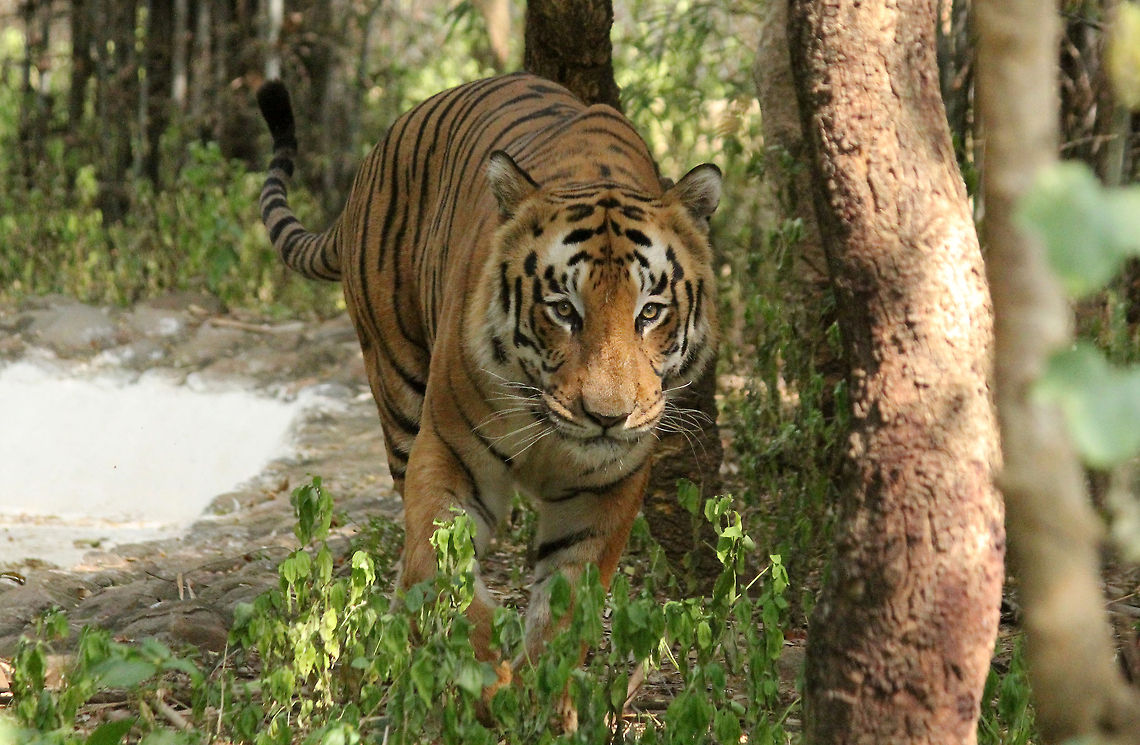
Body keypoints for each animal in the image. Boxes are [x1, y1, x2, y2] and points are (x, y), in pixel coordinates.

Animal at [256, 72, 720, 672]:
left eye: (650, 313)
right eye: (563, 309)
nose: (607, 417)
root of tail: (368, 169)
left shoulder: (608, 488)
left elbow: (564, 614)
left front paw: (535, 688)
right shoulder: (448, 451)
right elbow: (441, 571)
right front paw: (478, 670)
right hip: (397, 390)